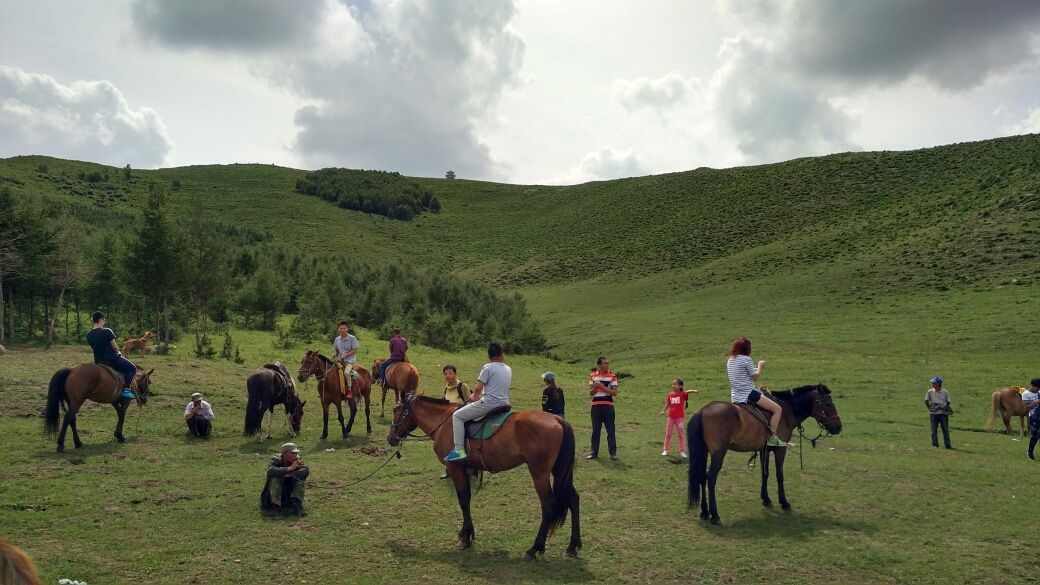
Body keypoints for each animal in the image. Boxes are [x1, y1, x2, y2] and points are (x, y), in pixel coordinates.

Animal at [386, 393, 582, 557]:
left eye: (396, 410)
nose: (390, 437)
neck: (444, 422)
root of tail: (557, 419)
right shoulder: (465, 469)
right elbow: (467, 499)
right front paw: (467, 534)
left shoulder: (455, 468)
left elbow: (463, 500)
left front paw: (465, 537)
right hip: (558, 470)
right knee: (573, 499)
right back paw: (572, 546)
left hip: (539, 474)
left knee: (548, 505)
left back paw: (535, 548)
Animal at [686, 383, 840, 524]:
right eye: (827, 404)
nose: (839, 427)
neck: (786, 411)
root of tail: (702, 411)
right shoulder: (780, 450)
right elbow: (779, 475)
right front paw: (784, 502)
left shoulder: (764, 450)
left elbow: (765, 474)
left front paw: (765, 498)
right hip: (718, 454)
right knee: (711, 478)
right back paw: (714, 514)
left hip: (704, 452)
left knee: (701, 476)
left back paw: (704, 511)